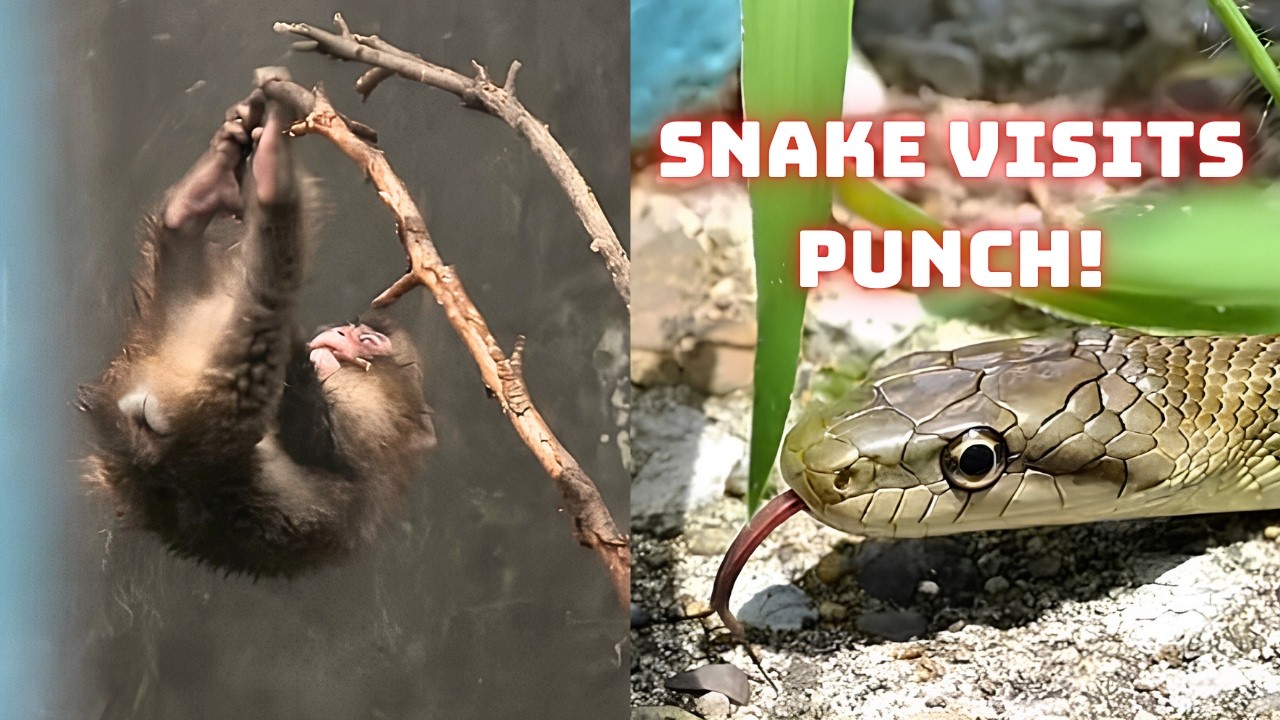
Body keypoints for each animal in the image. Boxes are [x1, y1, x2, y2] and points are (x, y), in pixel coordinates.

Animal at [79, 72, 436, 577]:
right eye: (351, 330)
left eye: (367, 340)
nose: (340, 336)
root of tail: (148, 461)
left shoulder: (377, 411)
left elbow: (320, 445)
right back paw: (197, 198)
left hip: (210, 415)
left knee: (264, 311)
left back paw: (268, 182)